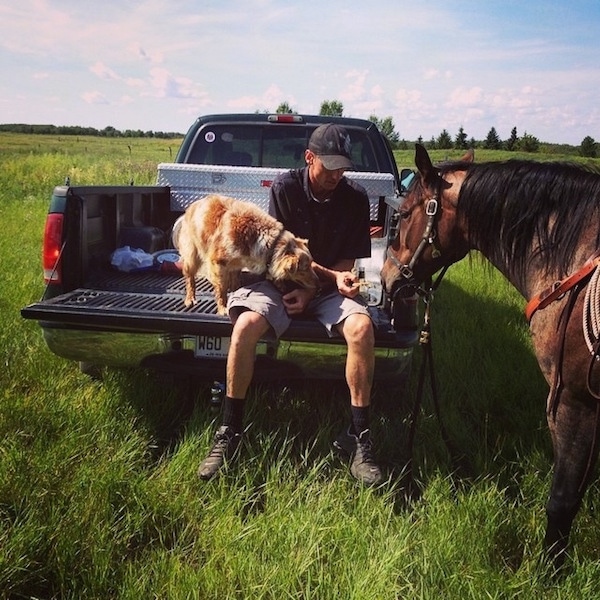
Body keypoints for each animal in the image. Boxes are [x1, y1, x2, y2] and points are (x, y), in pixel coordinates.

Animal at [177, 193, 322, 316]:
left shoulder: (238, 263)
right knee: (189, 276)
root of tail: (192, 205)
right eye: (304, 269)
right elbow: (221, 288)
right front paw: (223, 308)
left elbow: (235, 279)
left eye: (311, 264)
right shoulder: (217, 262)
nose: (319, 284)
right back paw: (190, 298)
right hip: (192, 255)